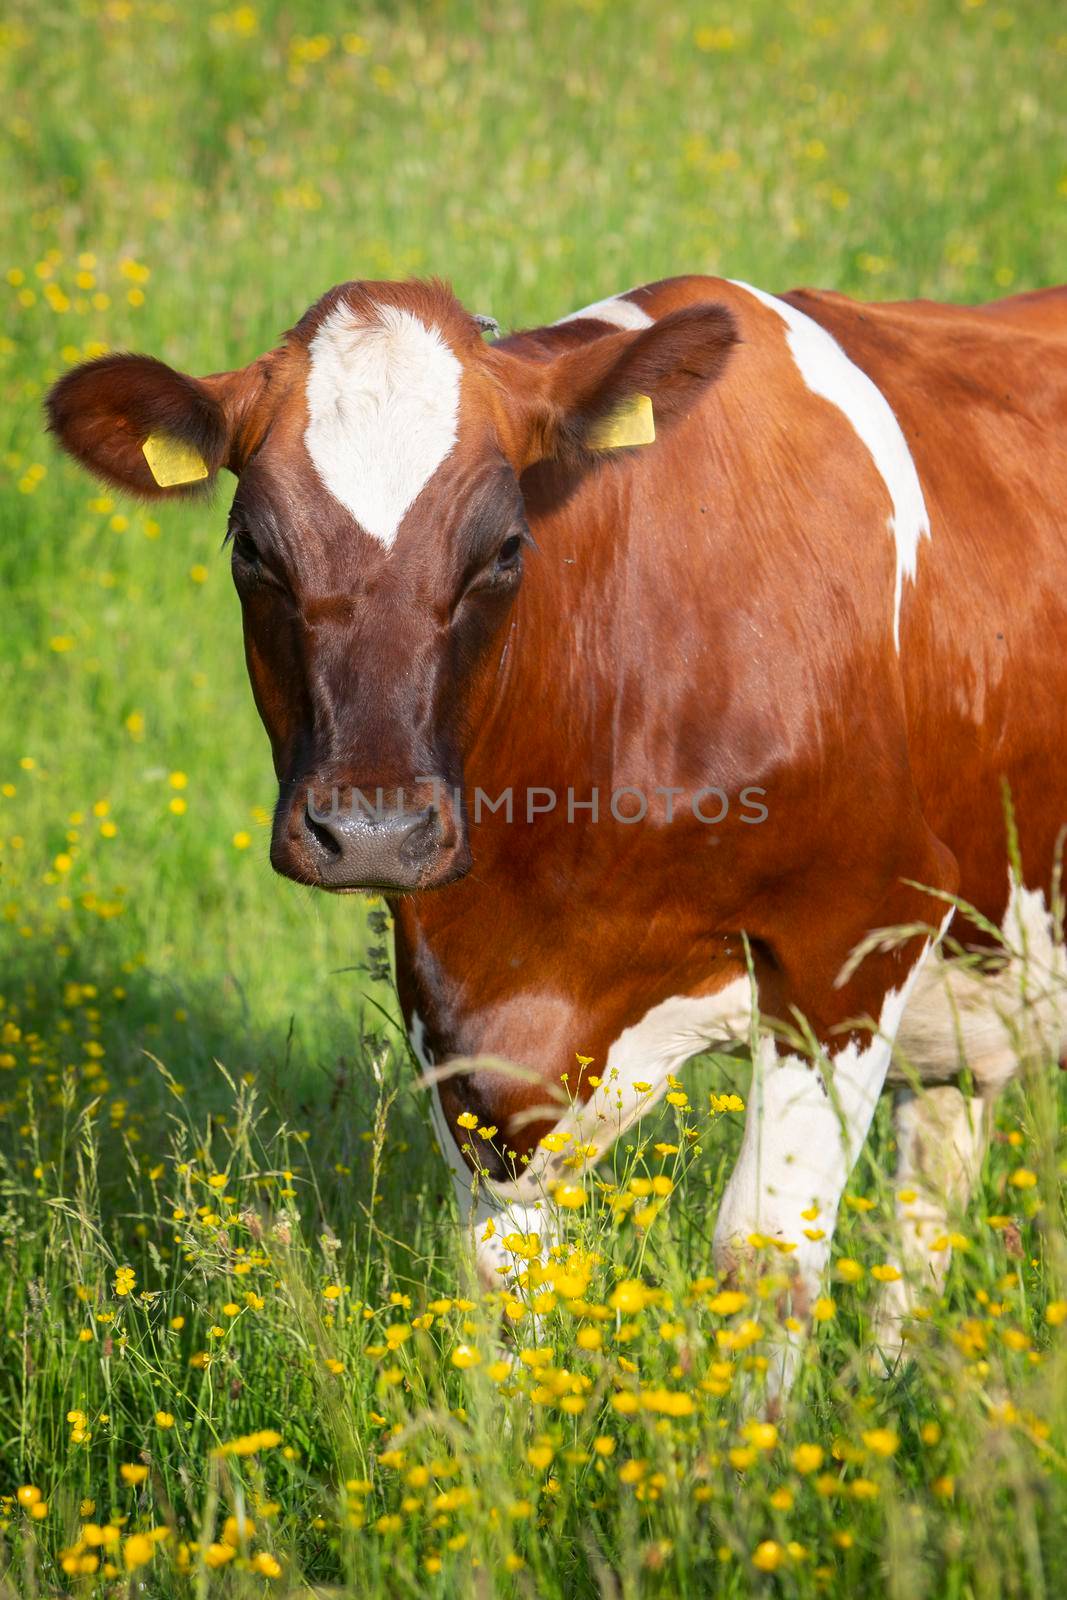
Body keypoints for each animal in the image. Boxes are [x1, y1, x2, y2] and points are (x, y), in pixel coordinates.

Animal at [45, 268, 1067, 1382]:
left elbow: (762, 1265)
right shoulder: (464, 1020)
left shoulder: (852, 935)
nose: (372, 832)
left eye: (504, 549)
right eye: (251, 551)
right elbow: (511, 1277)